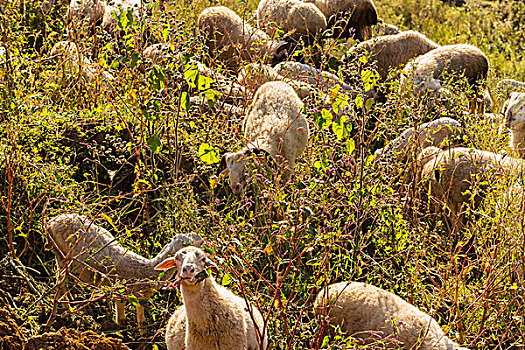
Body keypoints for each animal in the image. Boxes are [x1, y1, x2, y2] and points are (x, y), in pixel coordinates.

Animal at [44, 213, 203, 334]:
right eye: (187, 245)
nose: (202, 240)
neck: (147, 269)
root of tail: (52, 221)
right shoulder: (119, 294)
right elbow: (121, 320)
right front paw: (122, 332)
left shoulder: (140, 297)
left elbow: (142, 321)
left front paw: (143, 336)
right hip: (62, 256)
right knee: (60, 281)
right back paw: (65, 307)